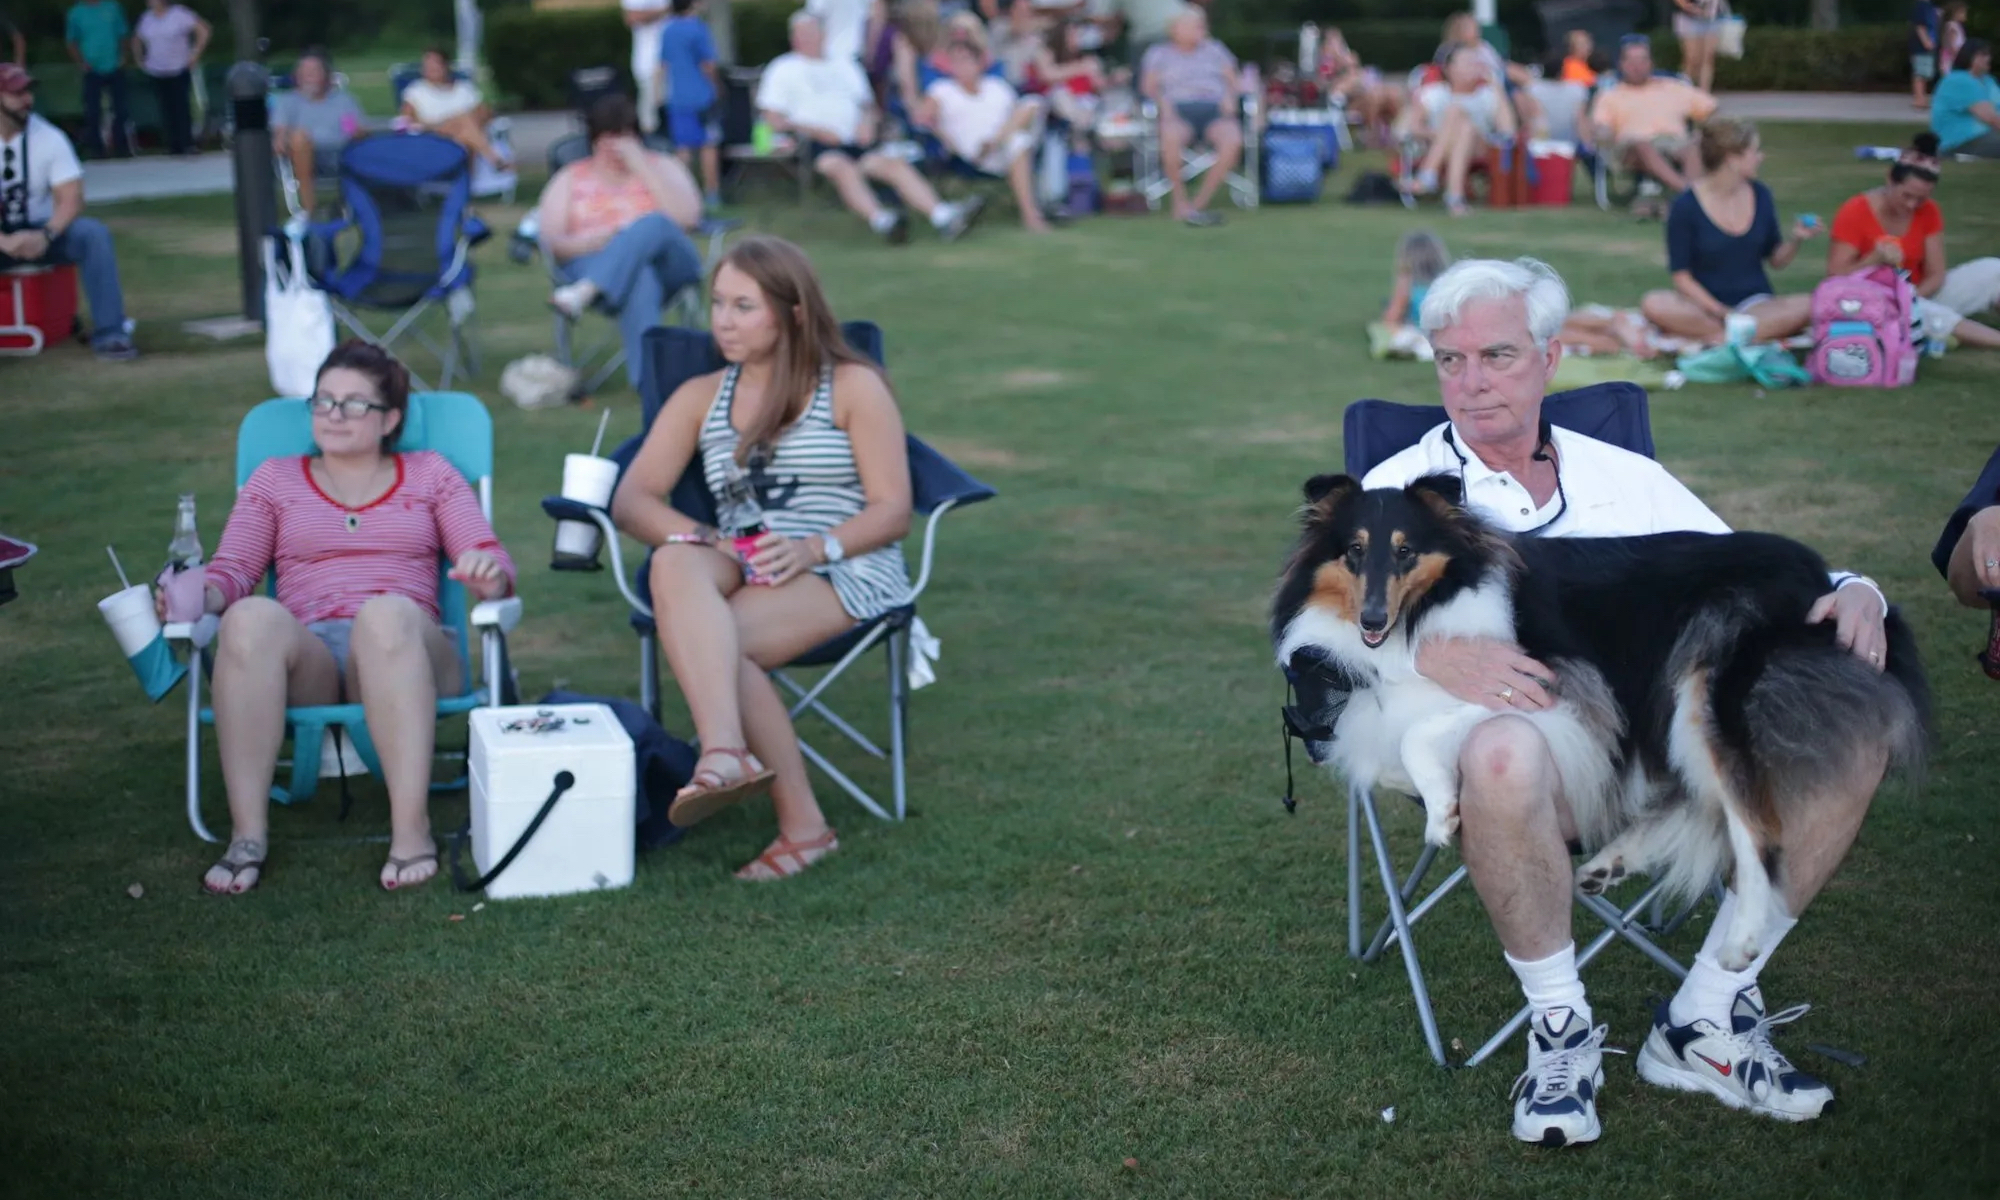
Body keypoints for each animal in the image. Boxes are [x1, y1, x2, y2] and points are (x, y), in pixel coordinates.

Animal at [1272, 474, 1928, 972]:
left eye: (1406, 550)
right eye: (1354, 550)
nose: (1372, 618)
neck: (1423, 614)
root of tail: (1818, 574)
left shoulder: (1558, 691)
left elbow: (1414, 734)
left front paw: (1441, 812)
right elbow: (1389, 749)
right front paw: (1439, 802)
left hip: (1699, 684)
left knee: (1751, 820)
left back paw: (1742, 940)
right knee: (1701, 799)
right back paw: (1613, 863)